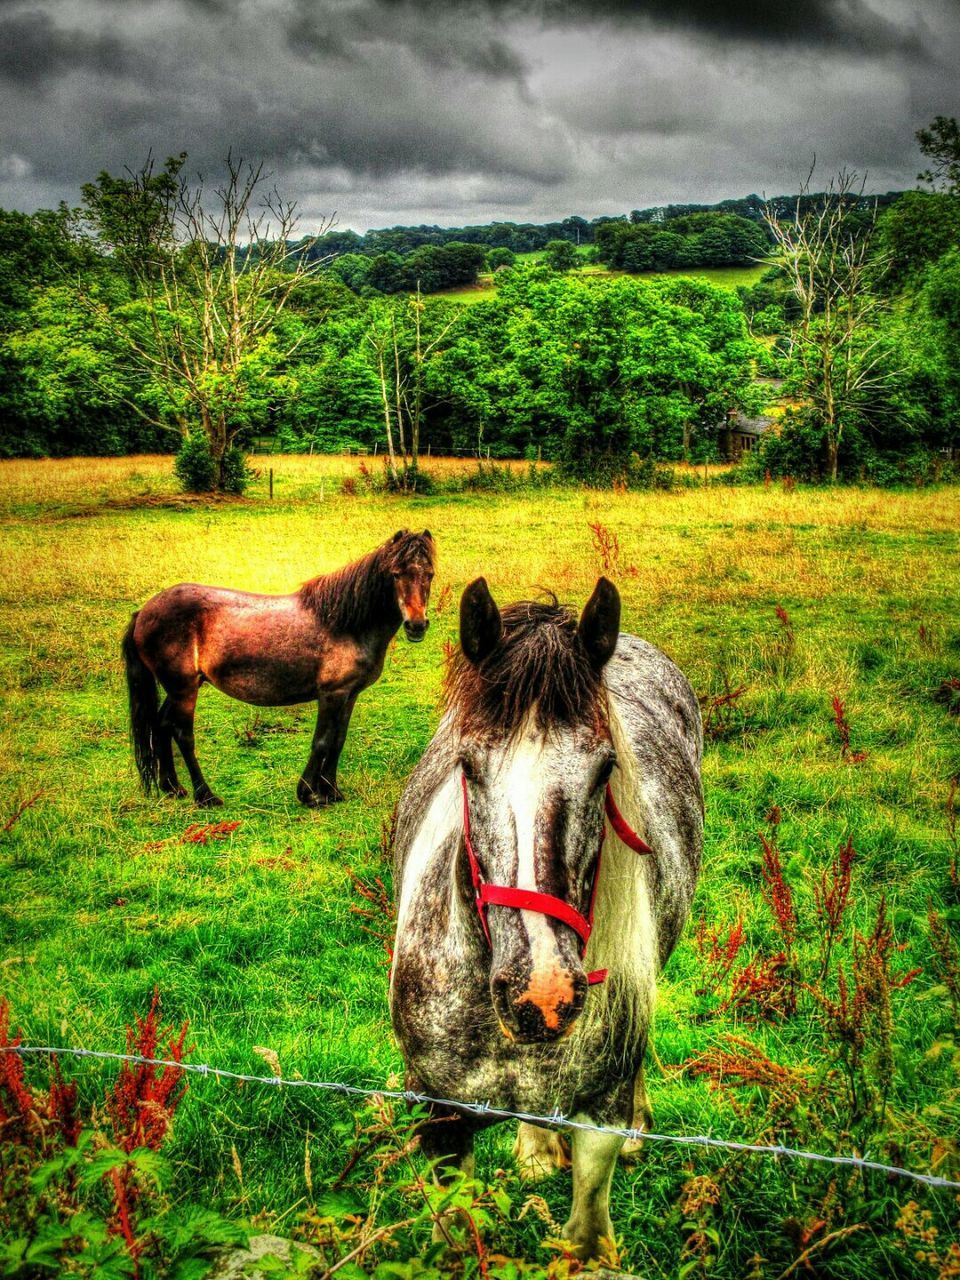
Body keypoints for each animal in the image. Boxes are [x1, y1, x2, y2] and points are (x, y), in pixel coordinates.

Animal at [122, 529, 435, 808]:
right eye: (396, 574)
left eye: (429, 574)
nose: (416, 625)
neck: (345, 623)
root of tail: (144, 612)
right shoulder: (332, 694)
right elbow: (322, 741)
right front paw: (309, 794)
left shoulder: (349, 694)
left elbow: (338, 740)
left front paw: (332, 792)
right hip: (184, 689)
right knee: (182, 735)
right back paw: (206, 796)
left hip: (181, 687)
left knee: (161, 725)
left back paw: (172, 788)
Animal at [386, 581, 701, 1259]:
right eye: (467, 765)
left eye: (607, 768)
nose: (543, 996)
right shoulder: (441, 1119)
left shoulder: (598, 1113)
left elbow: (585, 1235)